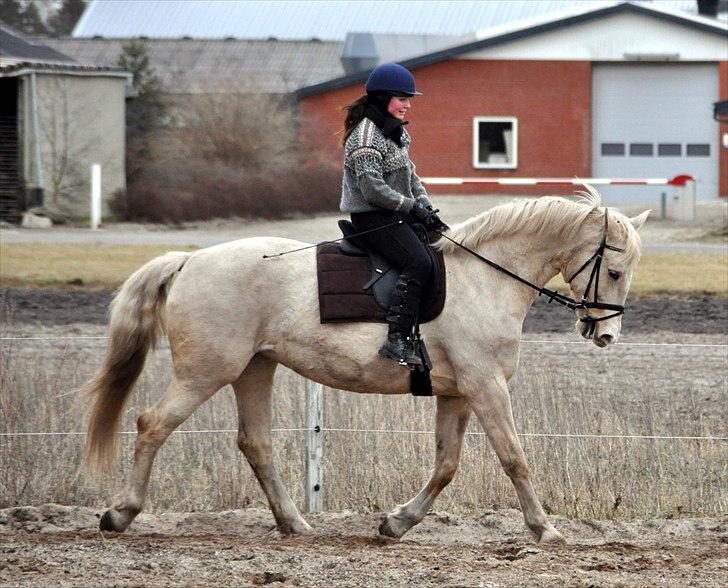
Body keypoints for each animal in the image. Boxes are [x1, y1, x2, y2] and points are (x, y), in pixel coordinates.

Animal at [84, 186, 648, 544]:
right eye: (614, 271)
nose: (605, 334)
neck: (485, 279)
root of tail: (189, 259)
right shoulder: (487, 387)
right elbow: (514, 458)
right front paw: (545, 528)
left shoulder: (458, 393)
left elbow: (446, 464)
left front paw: (397, 523)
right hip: (207, 371)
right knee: (152, 425)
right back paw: (120, 513)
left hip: (254, 369)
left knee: (256, 444)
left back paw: (295, 524)